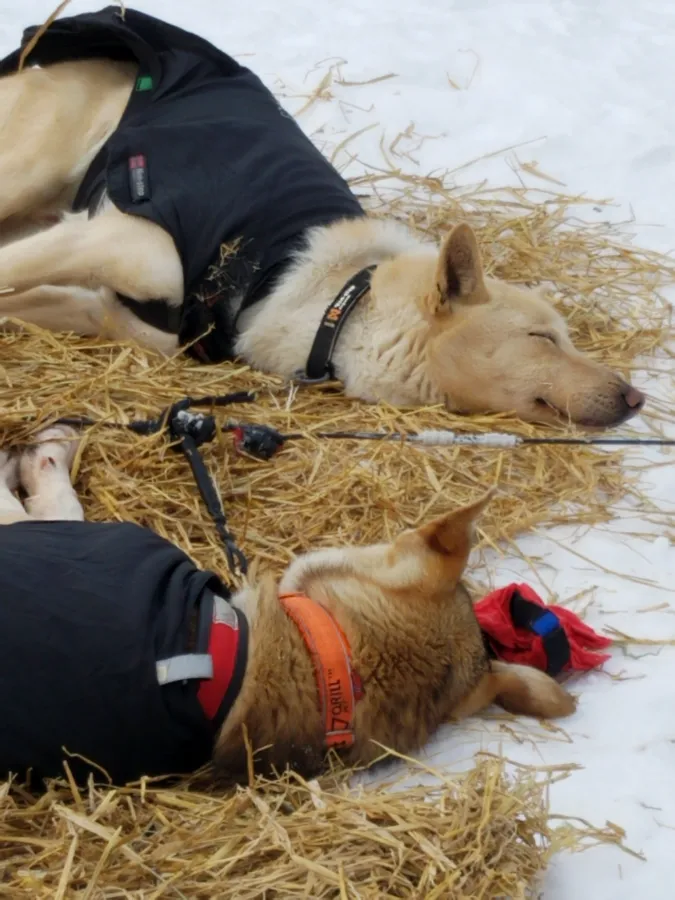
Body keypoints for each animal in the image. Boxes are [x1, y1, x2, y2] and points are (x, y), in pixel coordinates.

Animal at [0, 7, 648, 428]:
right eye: (542, 338)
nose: (636, 397)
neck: (329, 297)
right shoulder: (111, 241)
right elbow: (13, 272)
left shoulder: (107, 313)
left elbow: (24, 300)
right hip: (29, 171)